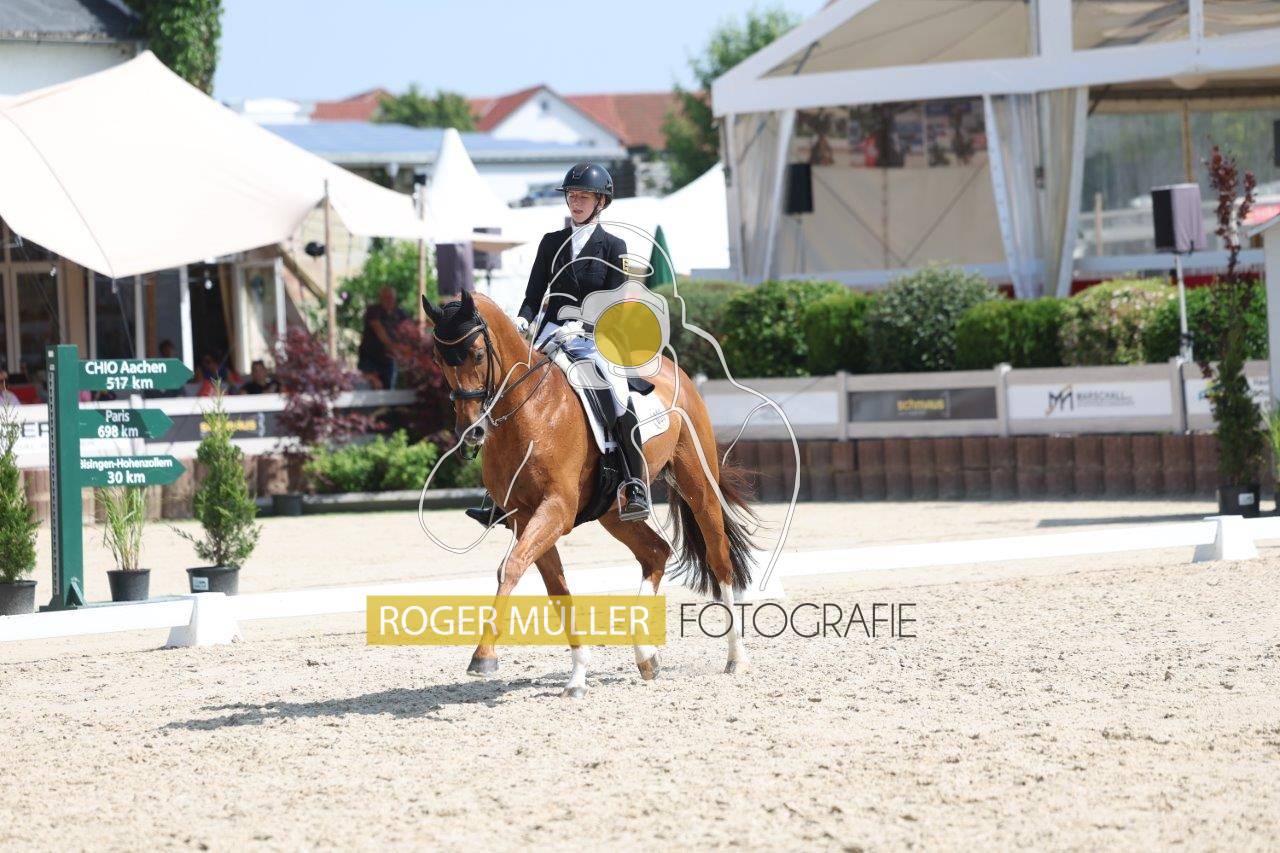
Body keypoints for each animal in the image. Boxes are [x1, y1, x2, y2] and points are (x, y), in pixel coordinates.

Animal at [421, 290, 757, 698]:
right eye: (438, 358)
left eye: (477, 353)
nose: (471, 431)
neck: (529, 411)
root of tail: (672, 369)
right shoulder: (524, 516)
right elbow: (556, 589)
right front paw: (578, 676)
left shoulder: (556, 509)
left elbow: (510, 567)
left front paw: (483, 657)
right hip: (614, 512)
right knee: (656, 552)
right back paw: (646, 656)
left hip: (698, 484)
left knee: (719, 558)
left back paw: (736, 658)